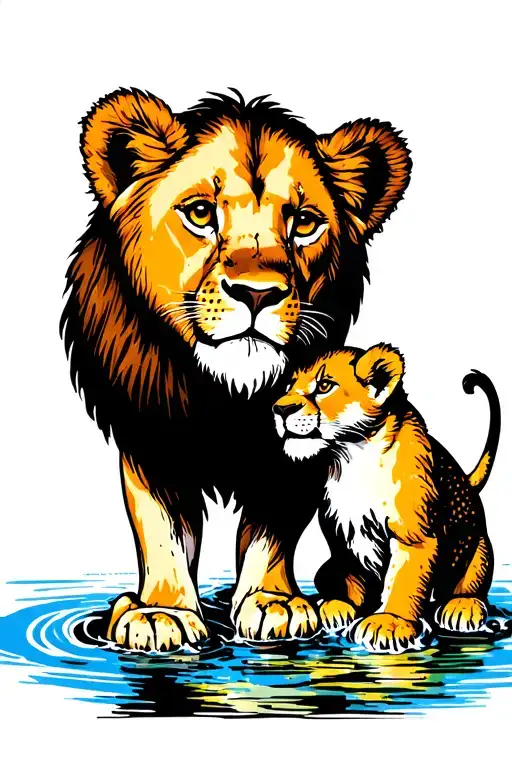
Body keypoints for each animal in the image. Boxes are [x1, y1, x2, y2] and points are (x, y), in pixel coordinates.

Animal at [60, 88, 411, 650]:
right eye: (201, 213)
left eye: (304, 222)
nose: (257, 293)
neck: (226, 395)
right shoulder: (151, 437)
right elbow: (159, 529)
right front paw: (161, 612)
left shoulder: (292, 453)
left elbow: (274, 528)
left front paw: (273, 602)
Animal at [272, 344, 500, 652]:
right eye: (289, 386)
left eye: (324, 386)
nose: (280, 408)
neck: (351, 458)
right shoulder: (344, 534)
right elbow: (350, 576)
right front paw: (338, 607)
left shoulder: (413, 536)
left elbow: (403, 580)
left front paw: (389, 623)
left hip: (478, 550)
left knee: (470, 584)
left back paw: (462, 608)